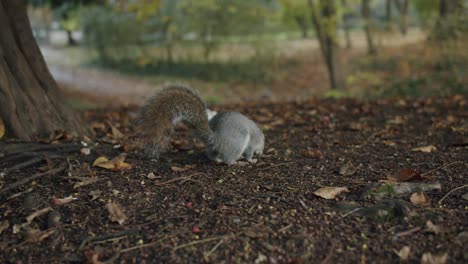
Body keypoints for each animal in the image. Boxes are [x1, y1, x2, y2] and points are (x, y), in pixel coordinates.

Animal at [137, 83, 266, 164]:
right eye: (263, 144)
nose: (260, 153)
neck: (258, 134)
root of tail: (216, 138)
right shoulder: (252, 143)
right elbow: (249, 152)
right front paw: (251, 160)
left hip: (213, 147)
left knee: (212, 155)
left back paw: (217, 160)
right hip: (238, 142)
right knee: (228, 160)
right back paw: (236, 162)